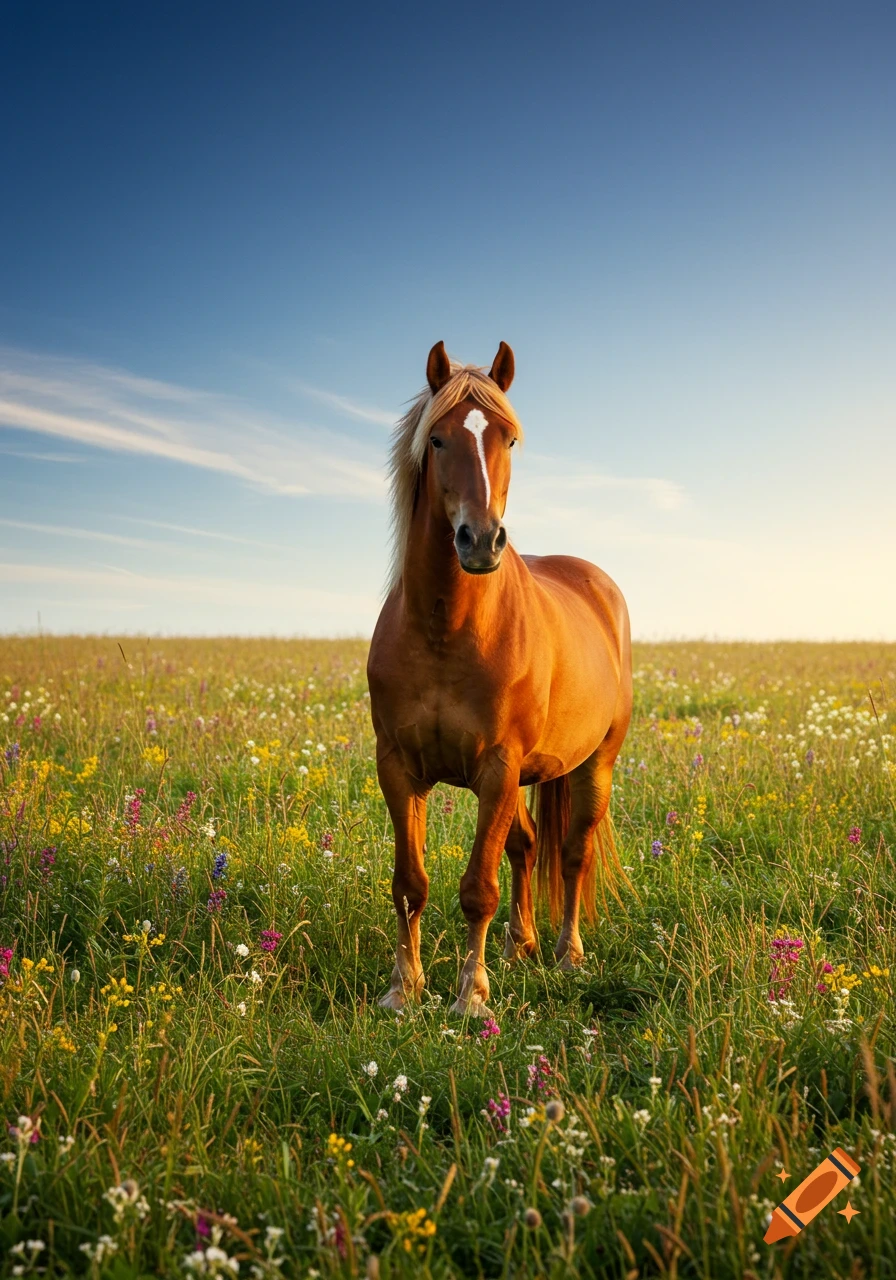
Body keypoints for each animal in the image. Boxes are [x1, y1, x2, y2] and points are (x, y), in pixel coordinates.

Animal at [367, 341, 632, 1016]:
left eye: (509, 439)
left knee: (572, 853)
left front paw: (472, 995)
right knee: (528, 845)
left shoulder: (496, 767)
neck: (447, 627)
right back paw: (520, 947)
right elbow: (409, 883)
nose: (481, 541)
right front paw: (403, 989)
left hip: (593, 764)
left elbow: (476, 889)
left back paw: (566, 954)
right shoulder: (399, 768)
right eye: (436, 439)